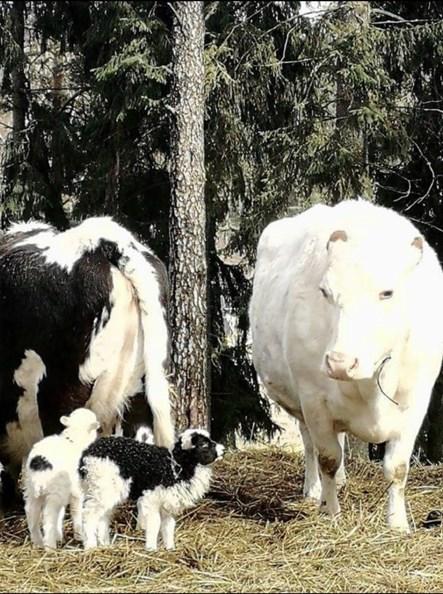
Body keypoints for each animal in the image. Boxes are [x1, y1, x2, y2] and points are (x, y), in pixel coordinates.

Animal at [79, 428, 224, 548]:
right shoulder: (151, 499)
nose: (223, 450)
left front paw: (170, 549)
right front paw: (151, 549)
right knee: (89, 514)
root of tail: (87, 453)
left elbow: (168, 526)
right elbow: (154, 524)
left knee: (103, 516)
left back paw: (105, 545)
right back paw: (91, 546)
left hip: (105, 489)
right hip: (102, 487)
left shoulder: (168, 502)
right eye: (204, 444)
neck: (176, 467)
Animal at [250, 198, 443, 528]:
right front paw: (331, 513)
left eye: (387, 292)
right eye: (325, 292)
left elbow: (397, 467)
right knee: (310, 444)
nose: (340, 363)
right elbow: (328, 457)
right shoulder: (313, 398)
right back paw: (315, 491)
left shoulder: (416, 399)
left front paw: (398, 524)